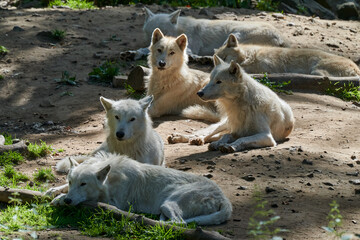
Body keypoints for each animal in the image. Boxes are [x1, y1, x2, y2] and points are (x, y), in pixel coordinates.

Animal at [143, 7, 290, 56]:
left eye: (165, 33)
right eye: (150, 34)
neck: (181, 28)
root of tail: (282, 37)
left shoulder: (191, 47)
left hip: (234, 35)